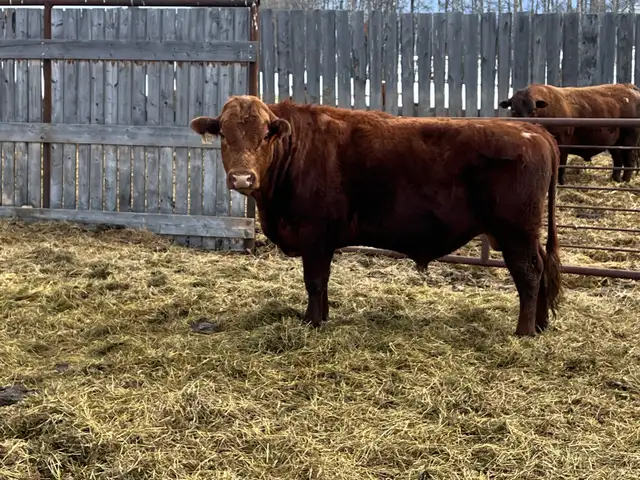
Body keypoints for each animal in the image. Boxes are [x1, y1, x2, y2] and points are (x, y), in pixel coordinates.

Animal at [189, 96, 562, 337]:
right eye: (224, 134)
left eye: (265, 134)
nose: (242, 178)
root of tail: (535, 132)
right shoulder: (323, 243)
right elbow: (323, 282)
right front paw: (323, 316)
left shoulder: (314, 235)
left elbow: (314, 281)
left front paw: (311, 321)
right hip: (523, 233)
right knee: (543, 266)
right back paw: (541, 324)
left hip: (515, 232)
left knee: (529, 273)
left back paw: (524, 330)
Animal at [498, 83, 640, 185]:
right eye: (513, 110)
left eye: (533, 110)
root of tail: (629, 87)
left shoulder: (563, 143)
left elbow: (561, 165)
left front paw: (561, 182)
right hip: (615, 144)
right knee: (618, 161)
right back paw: (615, 179)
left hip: (629, 141)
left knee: (630, 161)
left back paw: (625, 182)